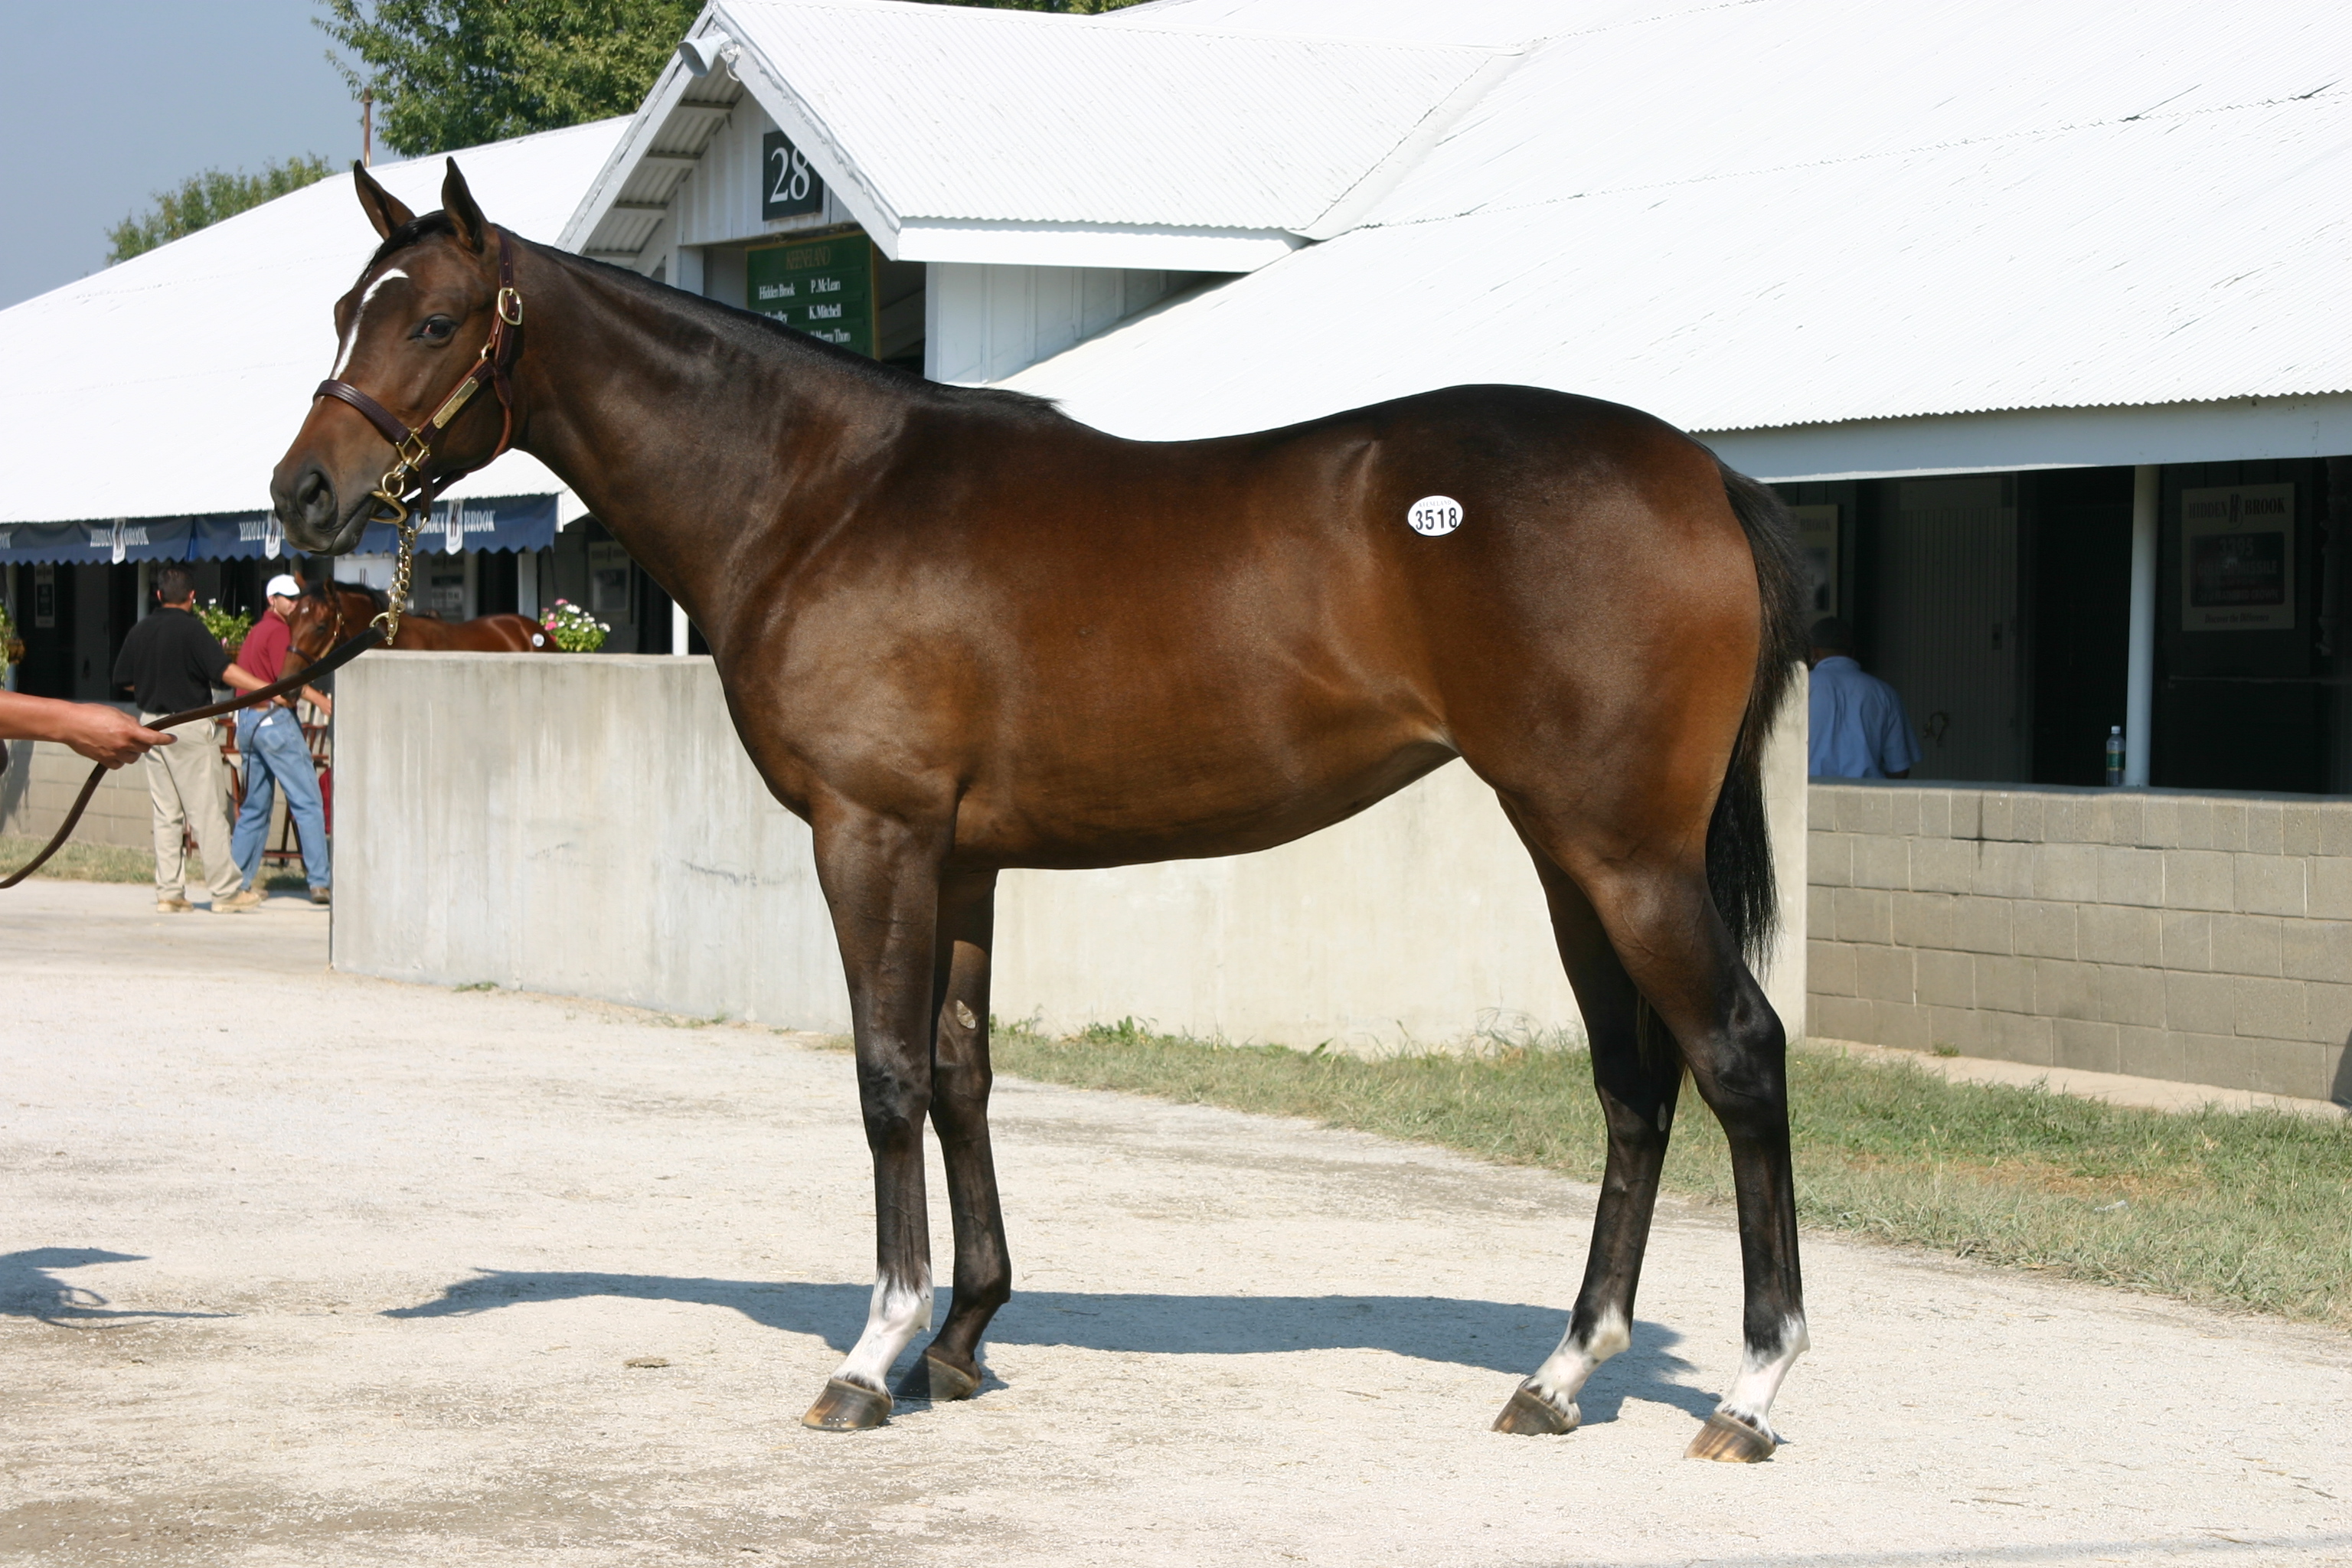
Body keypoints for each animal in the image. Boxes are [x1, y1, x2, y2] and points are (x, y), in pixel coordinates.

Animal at [266, 165, 1806, 1466]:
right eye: (345, 310)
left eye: (437, 319)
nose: (302, 493)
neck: (819, 495)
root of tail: (1699, 472)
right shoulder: (964, 860)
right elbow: (962, 1072)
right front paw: (959, 1336)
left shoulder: (872, 835)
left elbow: (887, 1075)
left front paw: (871, 1353)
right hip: (1568, 854)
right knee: (1632, 1087)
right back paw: (1561, 1375)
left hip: (1624, 856)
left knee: (1736, 1054)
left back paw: (1749, 1390)